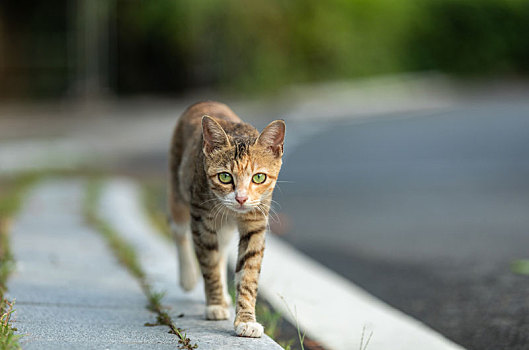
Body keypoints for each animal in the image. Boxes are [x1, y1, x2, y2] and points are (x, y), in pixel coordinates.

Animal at [168, 100, 284, 336]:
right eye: (224, 177)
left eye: (259, 177)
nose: (241, 198)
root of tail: (205, 101)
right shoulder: (201, 221)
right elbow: (209, 264)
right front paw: (215, 304)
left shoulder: (255, 222)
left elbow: (248, 271)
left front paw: (246, 320)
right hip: (178, 190)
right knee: (179, 231)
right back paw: (188, 277)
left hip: (225, 228)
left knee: (221, 250)